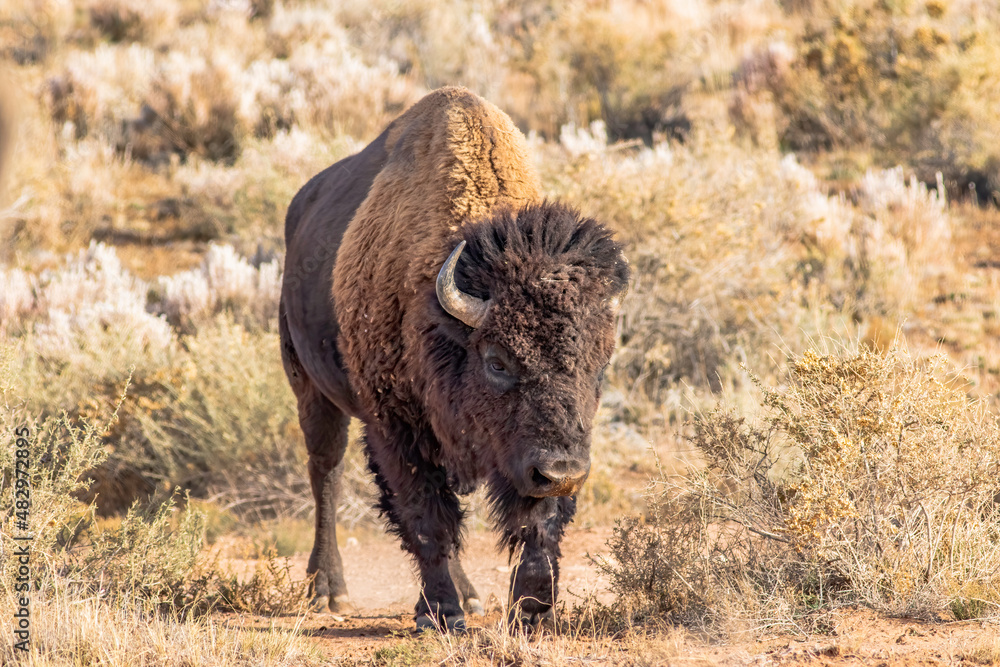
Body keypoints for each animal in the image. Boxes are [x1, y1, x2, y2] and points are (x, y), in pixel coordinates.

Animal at [280, 87, 629, 631]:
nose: (562, 472)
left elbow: (536, 522)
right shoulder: (394, 429)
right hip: (312, 390)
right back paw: (327, 590)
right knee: (326, 475)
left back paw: (471, 596)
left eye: (599, 364)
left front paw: (533, 611)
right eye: (498, 361)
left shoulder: (529, 460)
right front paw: (439, 612)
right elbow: (426, 517)